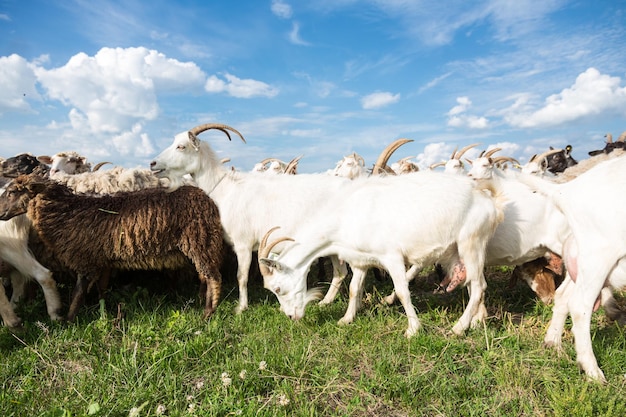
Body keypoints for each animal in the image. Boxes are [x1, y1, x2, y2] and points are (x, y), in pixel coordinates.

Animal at [0, 172, 223, 318]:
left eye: (12, 192)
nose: (0, 213)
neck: (67, 212)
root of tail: (208, 200)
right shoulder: (103, 260)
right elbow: (101, 288)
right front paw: (102, 309)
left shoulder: (85, 260)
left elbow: (77, 293)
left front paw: (69, 321)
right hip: (200, 244)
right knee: (204, 275)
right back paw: (202, 301)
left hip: (199, 240)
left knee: (214, 277)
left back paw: (208, 313)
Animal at [256, 171, 504, 336]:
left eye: (278, 288)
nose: (291, 316)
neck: (346, 215)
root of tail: (487, 197)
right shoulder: (360, 260)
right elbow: (354, 289)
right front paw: (346, 319)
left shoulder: (391, 257)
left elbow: (402, 291)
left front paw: (413, 329)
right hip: (463, 250)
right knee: (472, 284)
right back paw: (476, 321)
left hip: (471, 241)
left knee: (479, 286)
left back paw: (458, 328)